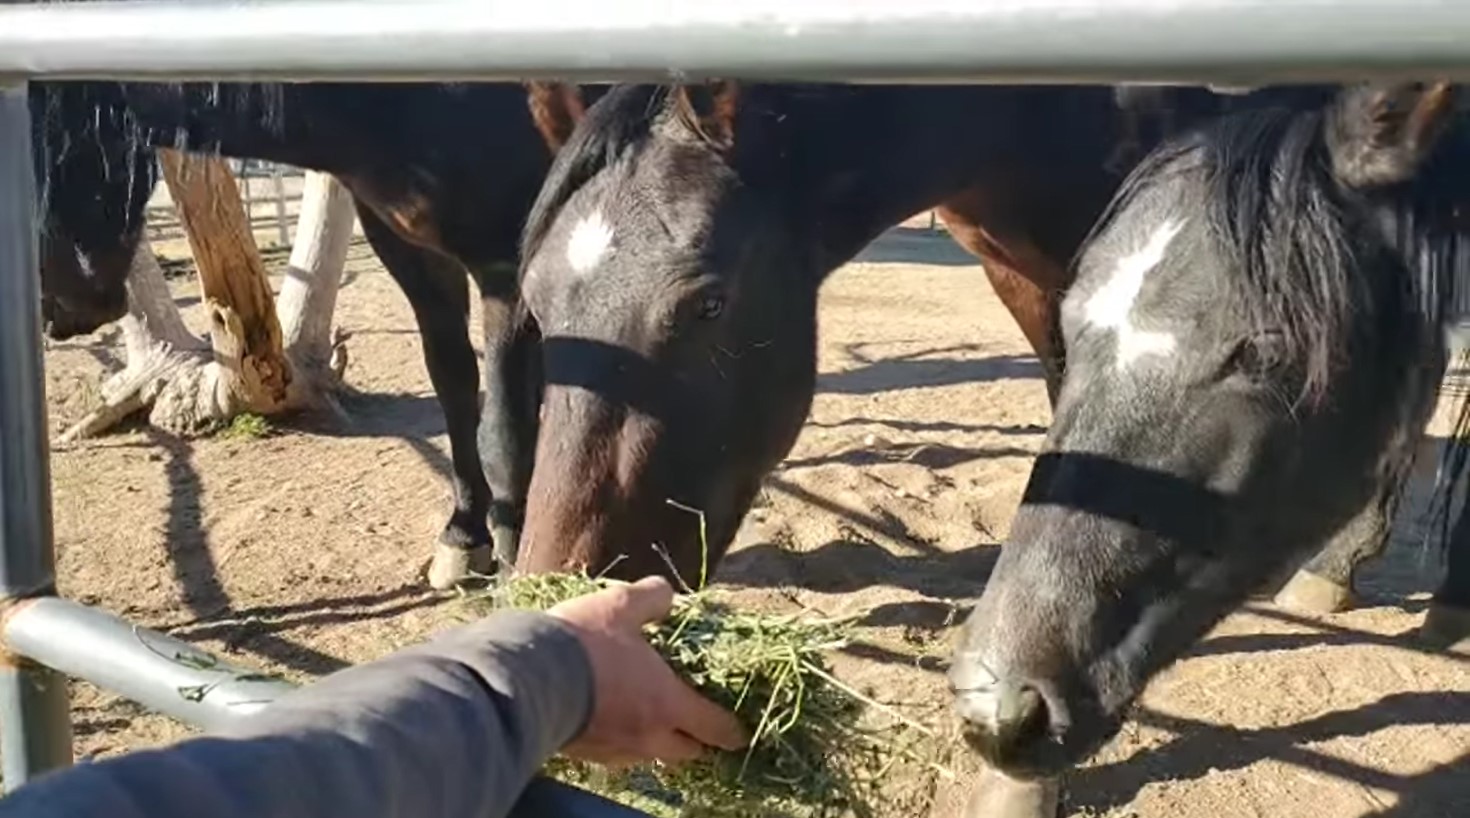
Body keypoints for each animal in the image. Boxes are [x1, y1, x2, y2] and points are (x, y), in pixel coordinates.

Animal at [31, 79, 598, 588]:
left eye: (52, 144)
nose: (59, 307)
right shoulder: (412, 252)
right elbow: (455, 389)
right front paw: (464, 537)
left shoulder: (505, 264)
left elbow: (503, 427)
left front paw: (517, 560)